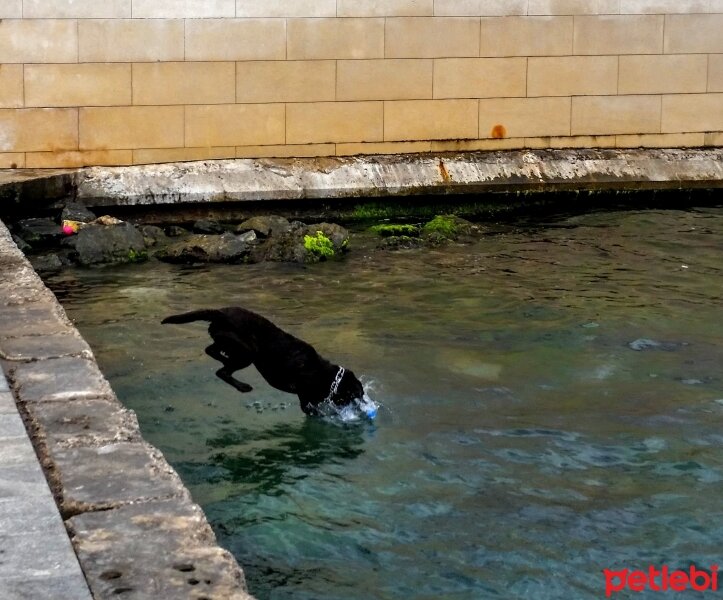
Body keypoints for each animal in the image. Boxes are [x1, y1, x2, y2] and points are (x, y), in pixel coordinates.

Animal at [165, 308, 368, 414]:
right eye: (356, 395)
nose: (364, 406)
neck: (323, 374)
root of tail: (220, 313)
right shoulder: (305, 398)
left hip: (232, 345)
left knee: (212, 352)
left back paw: (223, 359)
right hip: (247, 352)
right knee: (222, 370)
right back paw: (243, 386)